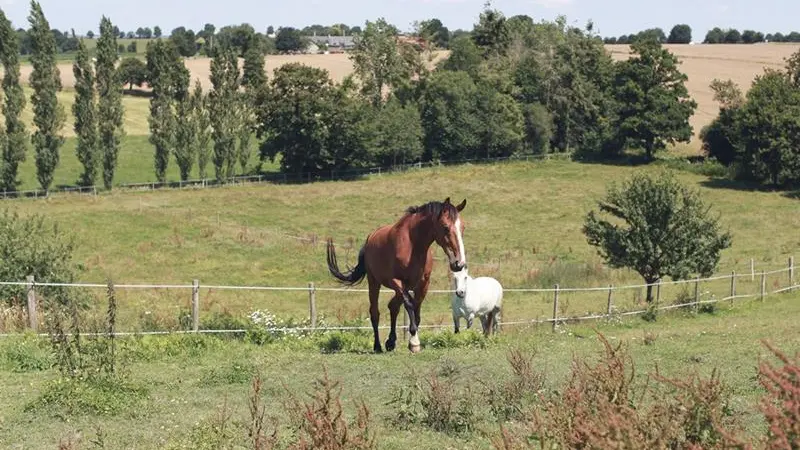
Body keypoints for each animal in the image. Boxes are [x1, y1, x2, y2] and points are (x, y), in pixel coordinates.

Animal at [326, 196, 468, 352]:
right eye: (445, 227)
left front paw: (410, 340)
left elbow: (416, 310)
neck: (413, 246)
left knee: (393, 307)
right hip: (374, 282)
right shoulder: (397, 281)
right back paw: (378, 346)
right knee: (375, 312)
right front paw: (414, 342)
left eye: (463, 228)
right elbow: (410, 305)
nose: (459, 263)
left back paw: (391, 341)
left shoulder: (423, 284)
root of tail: (370, 238)